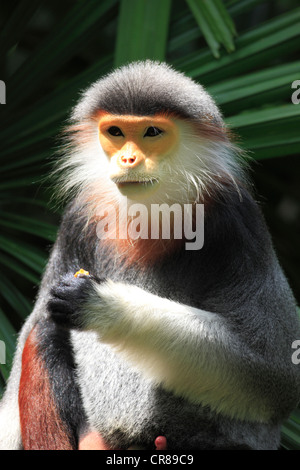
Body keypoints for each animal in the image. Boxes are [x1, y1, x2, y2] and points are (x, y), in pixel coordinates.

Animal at [0, 60, 300, 450]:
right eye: (115, 132)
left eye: (152, 132)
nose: (128, 158)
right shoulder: (78, 218)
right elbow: (31, 330)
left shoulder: (237, 221)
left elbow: (275, 375)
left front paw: (105, 304)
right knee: (44, 330)